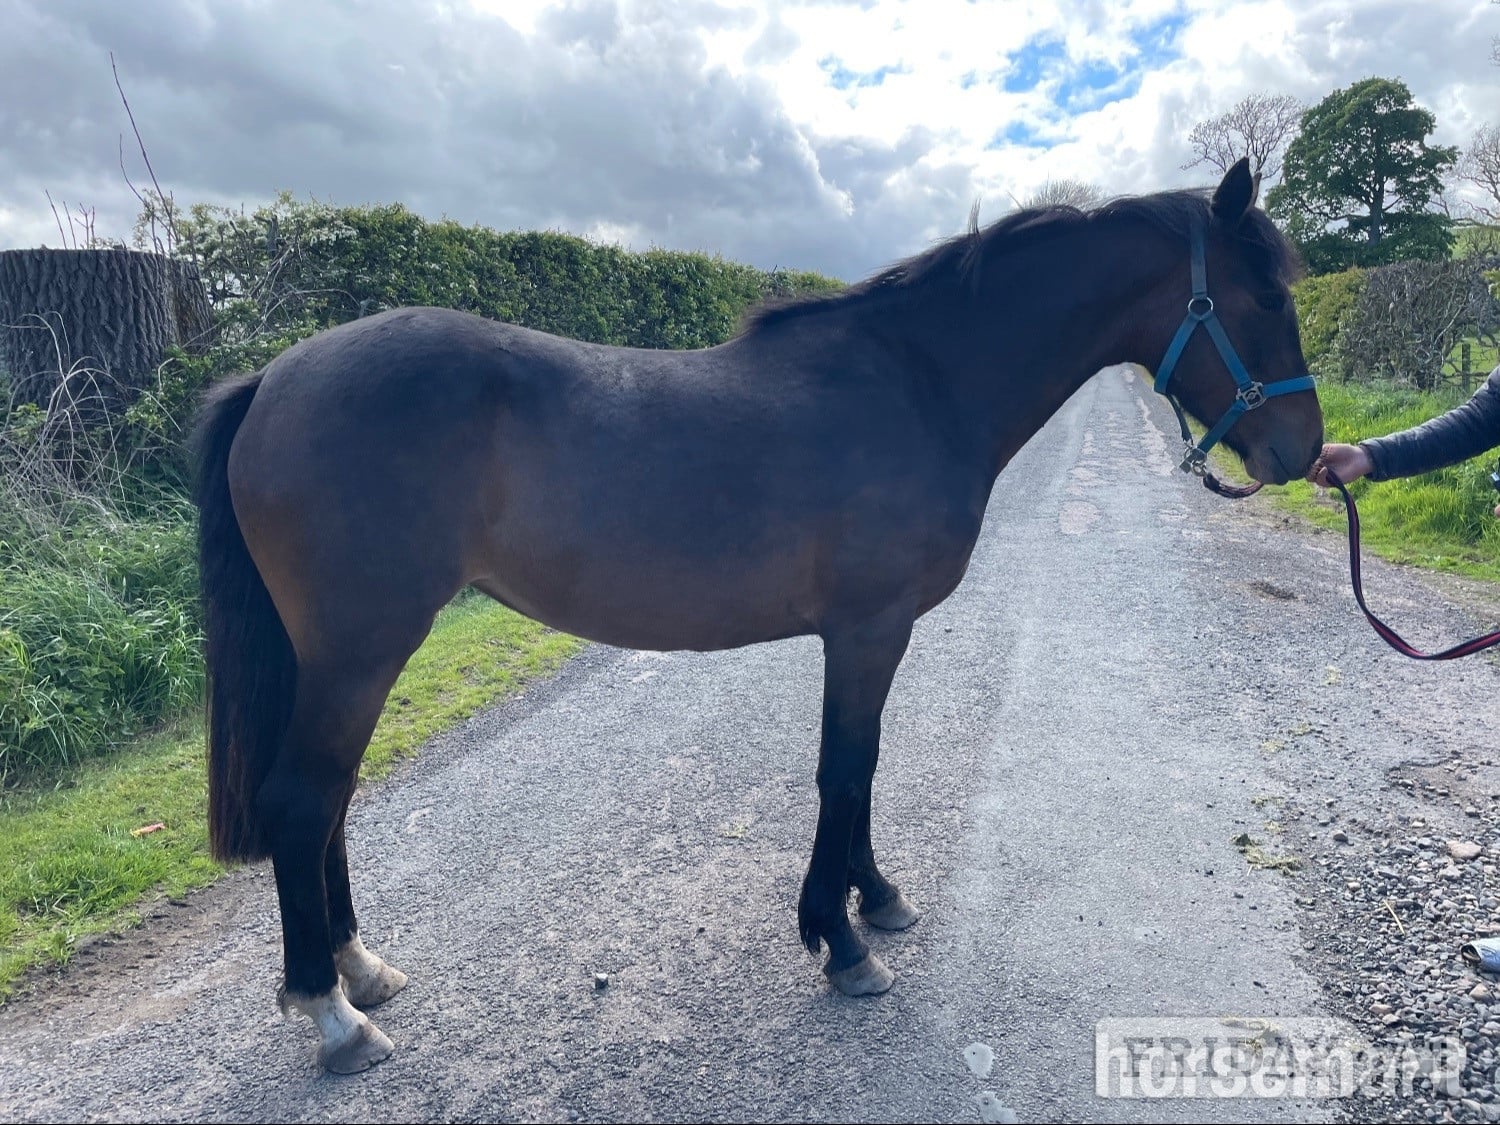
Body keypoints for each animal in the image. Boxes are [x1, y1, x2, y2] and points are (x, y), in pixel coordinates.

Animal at [192, 159, 1322, 1073]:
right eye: (1266, 291)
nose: (1304, 450)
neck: (920, 384)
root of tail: (275, 374)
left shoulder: (869, 634)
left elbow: (862, 767)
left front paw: (875, 899)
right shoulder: (868, 628)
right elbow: (845, 770)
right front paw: (843, 941)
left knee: (332, 803)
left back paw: (360, 968)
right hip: (361, 649)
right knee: (304, 801)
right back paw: (336, 1016)